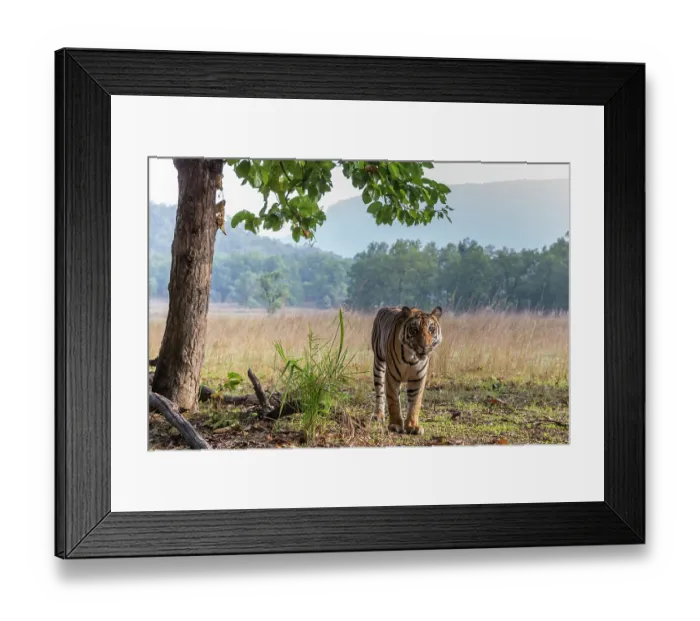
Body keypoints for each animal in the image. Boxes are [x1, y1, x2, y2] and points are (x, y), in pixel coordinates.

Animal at [371, 305, 443, 435]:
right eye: (414, 329)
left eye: (431, 329)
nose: (424, 346)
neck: (412, 357)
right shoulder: (392, 376)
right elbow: (393, 401)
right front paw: (395, 425)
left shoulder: (418, 378)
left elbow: (415, 403)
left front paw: (412, 426)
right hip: (378, 362)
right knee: (380, 392)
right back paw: (378, 415)